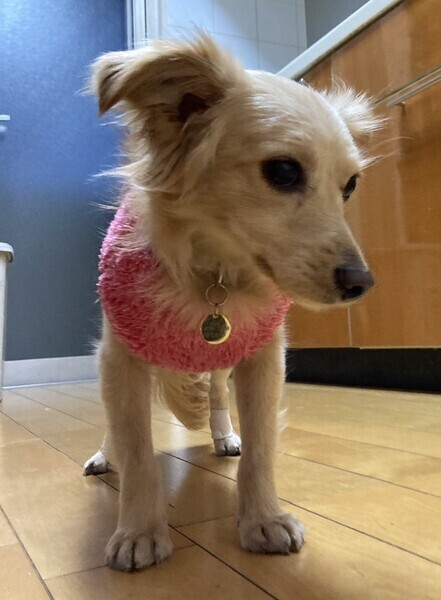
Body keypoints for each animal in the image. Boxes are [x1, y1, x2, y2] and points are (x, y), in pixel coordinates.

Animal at [83, 34, 380, 572]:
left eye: (349, 186)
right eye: (282, 171)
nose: (361, 284)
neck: (213, 272)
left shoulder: (261, 359)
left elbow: (262, 447)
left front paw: (262, 518)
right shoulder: (119, 357)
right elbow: (136, 450)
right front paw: (139, 530)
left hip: (223, 363)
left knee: (218, 397)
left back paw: (224, 436)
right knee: (117, 428)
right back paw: (104, 454)